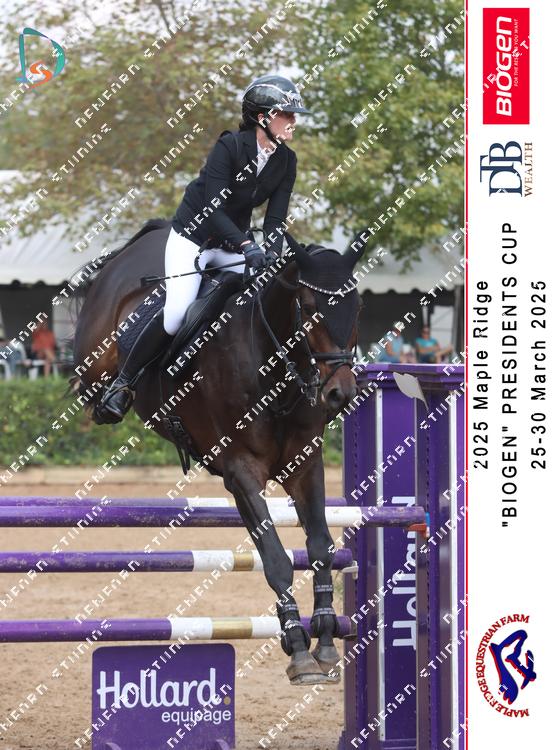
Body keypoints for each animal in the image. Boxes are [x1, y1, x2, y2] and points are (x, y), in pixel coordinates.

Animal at [71, 219, 362, 685]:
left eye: (358, 307)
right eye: (308, 306)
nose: (340, 394)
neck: (272, 367)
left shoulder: (306, 466)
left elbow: (320, 547)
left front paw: (326, 641)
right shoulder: (241, 473)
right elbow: (276, 559)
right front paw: (298, 649)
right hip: (94, 364)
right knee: (95, 388)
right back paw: (111, 398)